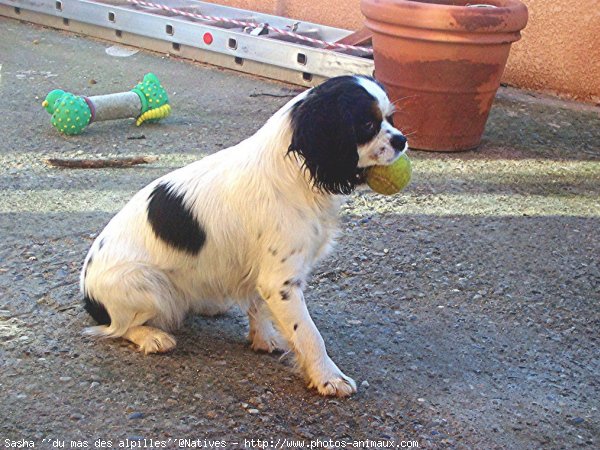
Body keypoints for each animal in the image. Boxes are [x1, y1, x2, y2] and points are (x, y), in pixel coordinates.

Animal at [79, 74, 408, 398]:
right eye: (367, 124)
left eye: (390, 117)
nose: (401, 140)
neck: (295, 172)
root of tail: (88, 295)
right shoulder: (281, 282)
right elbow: (309, 334)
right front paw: (328, 377)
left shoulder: (263, 273)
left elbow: (258, 305)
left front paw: (263, 340)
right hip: (149, 285)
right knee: (119, 327)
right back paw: (152, 337)